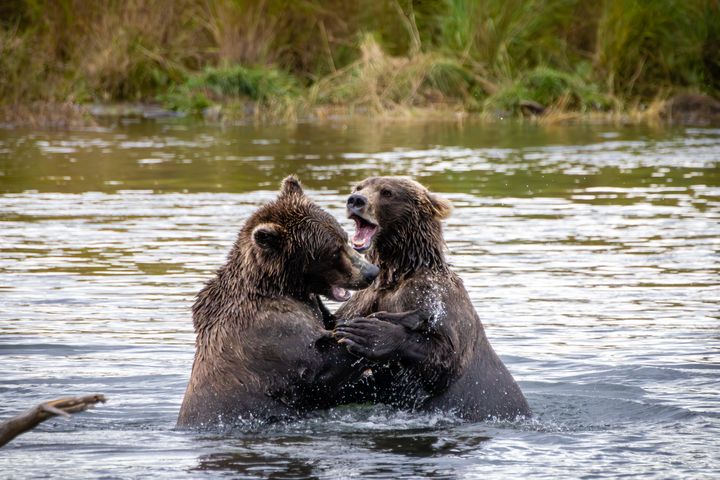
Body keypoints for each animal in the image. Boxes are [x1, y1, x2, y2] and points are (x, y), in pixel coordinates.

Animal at [177, 176, 380, 428]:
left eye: (344, 238)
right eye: (333, 250)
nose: (371, 272)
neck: (282, 286)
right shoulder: (269, 329)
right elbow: (317, 367)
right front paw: (366, 334)